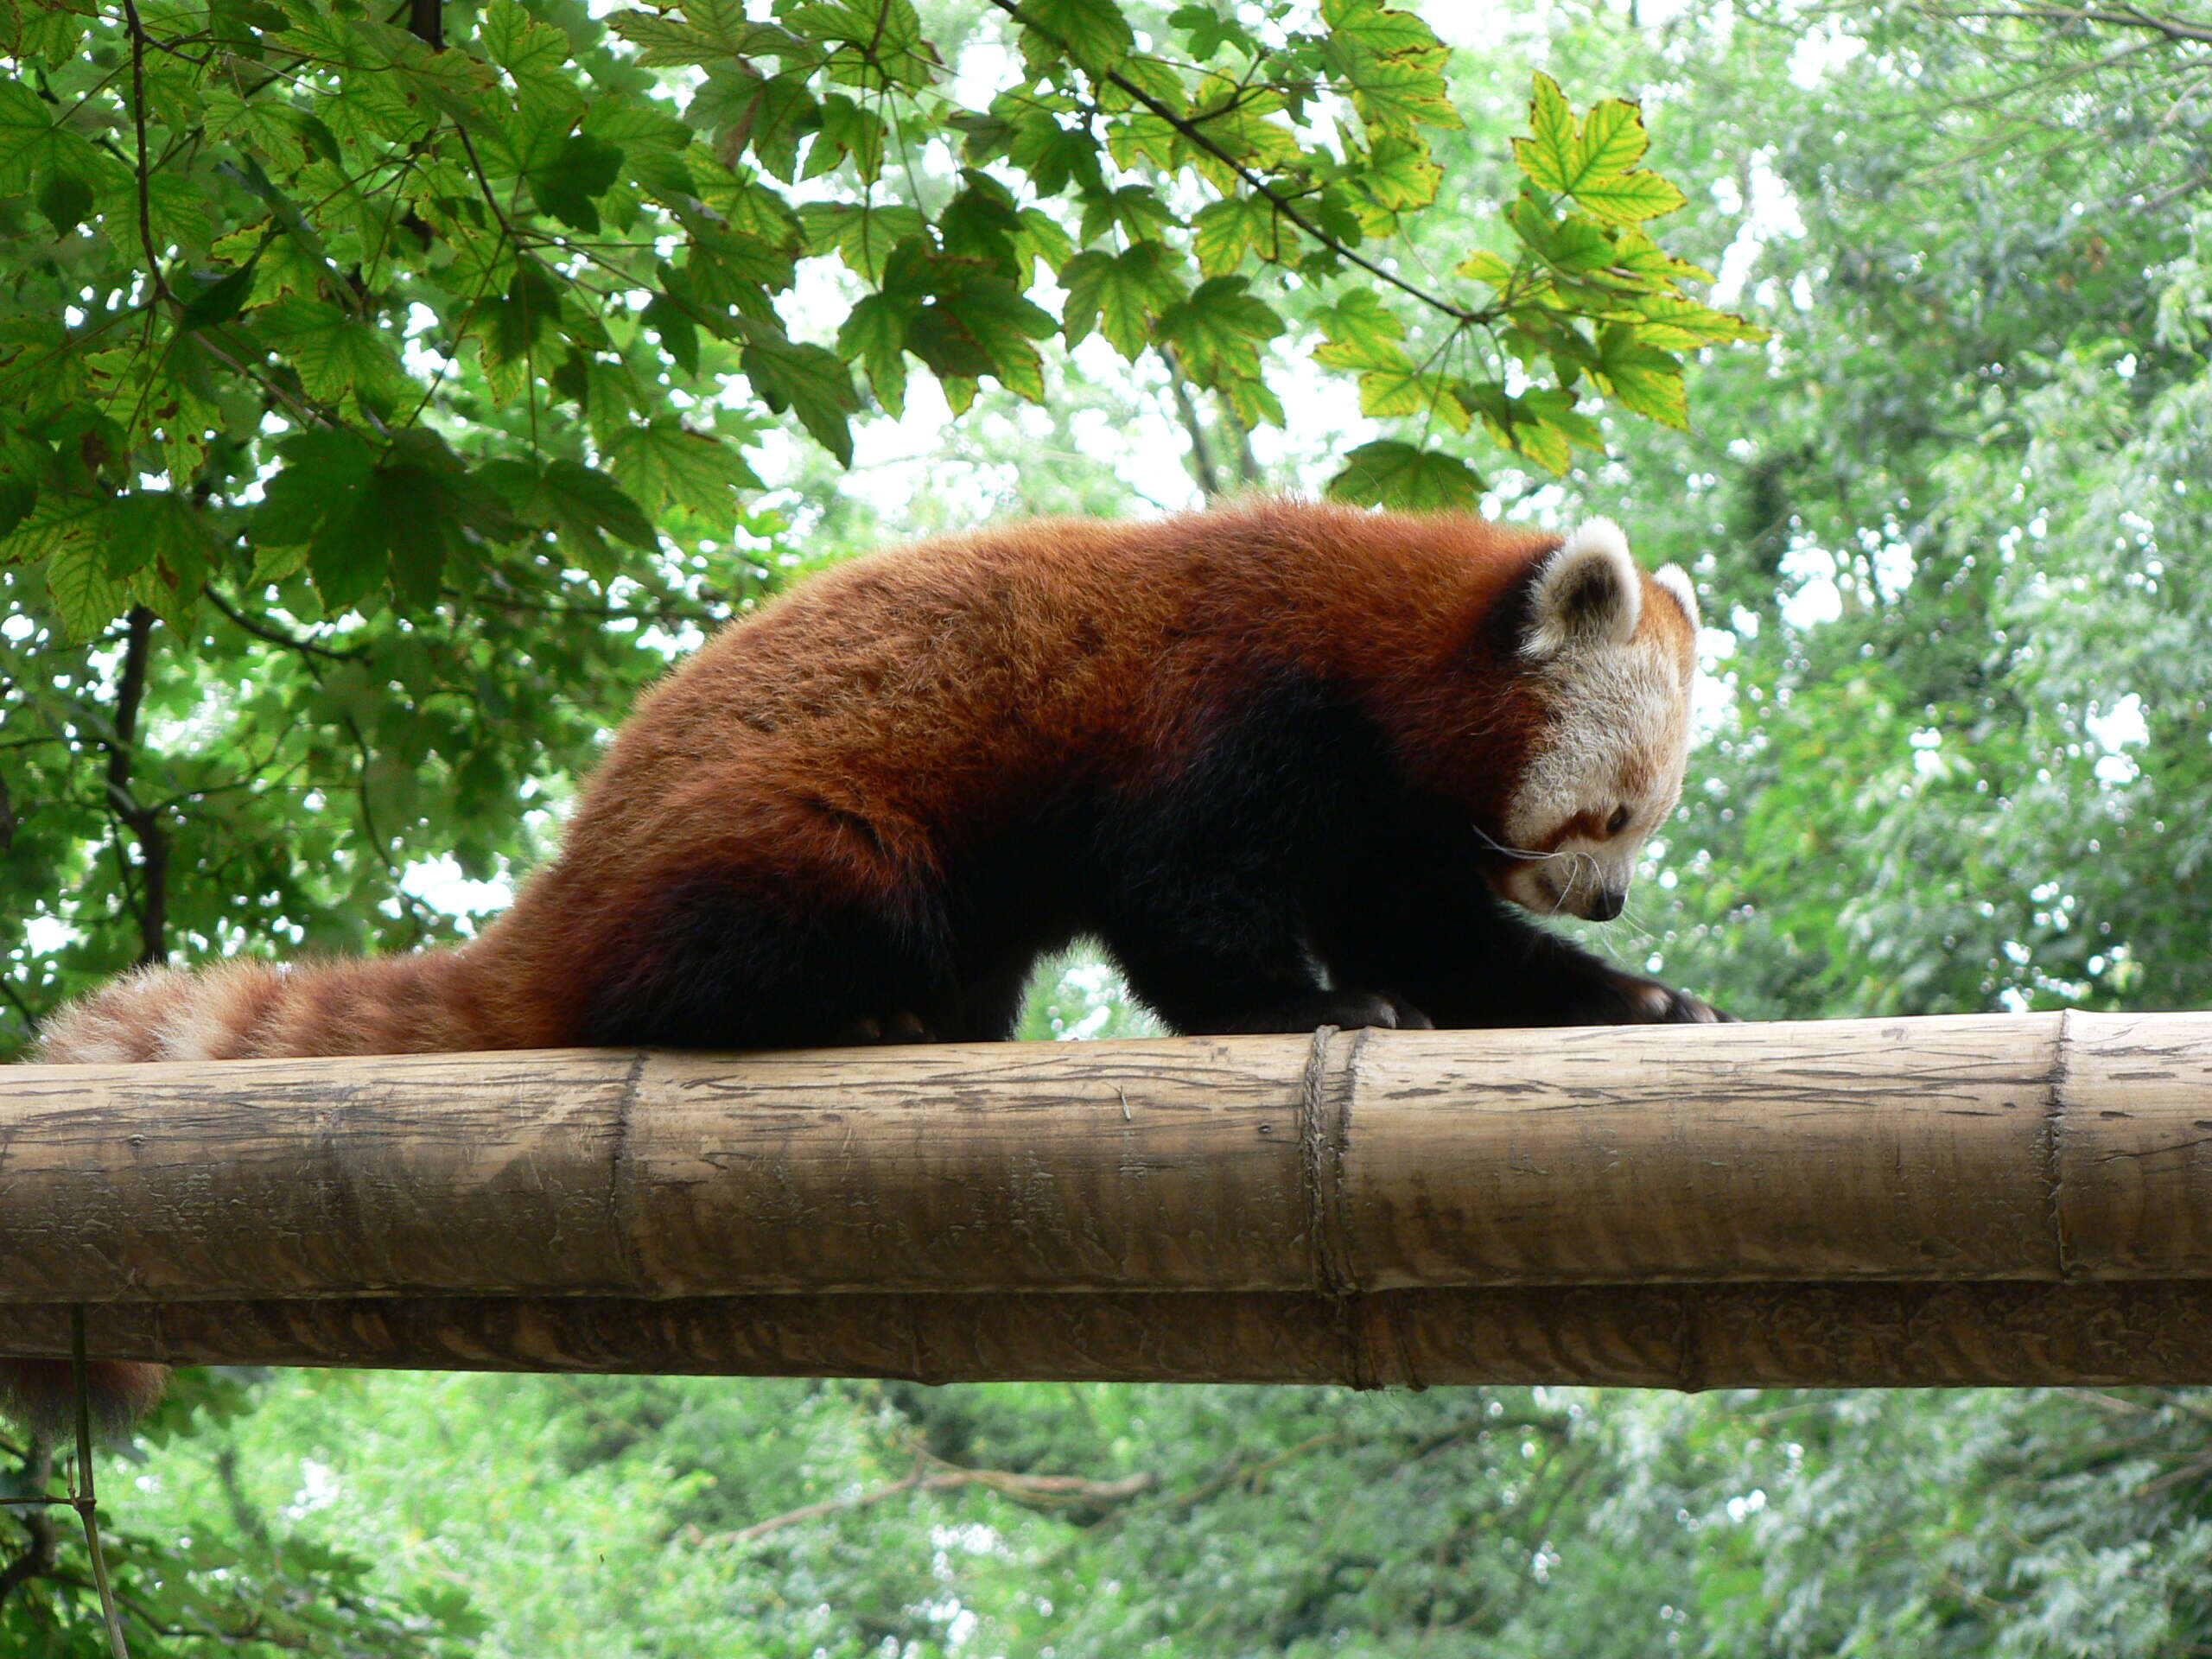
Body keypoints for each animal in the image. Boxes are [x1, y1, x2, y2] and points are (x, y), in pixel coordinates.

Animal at [21, 506, 1725, 1433]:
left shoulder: (1384, 819)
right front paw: (1303, 1009)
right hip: (819, 840)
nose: (1618, 897)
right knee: (760, 941)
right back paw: (836, 1012)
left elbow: (1434, 927)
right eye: (1615, 810)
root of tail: (569, 878)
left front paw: (1639, 1003)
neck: (1375, 653)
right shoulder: (1220, 718)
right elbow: (1195, 910)